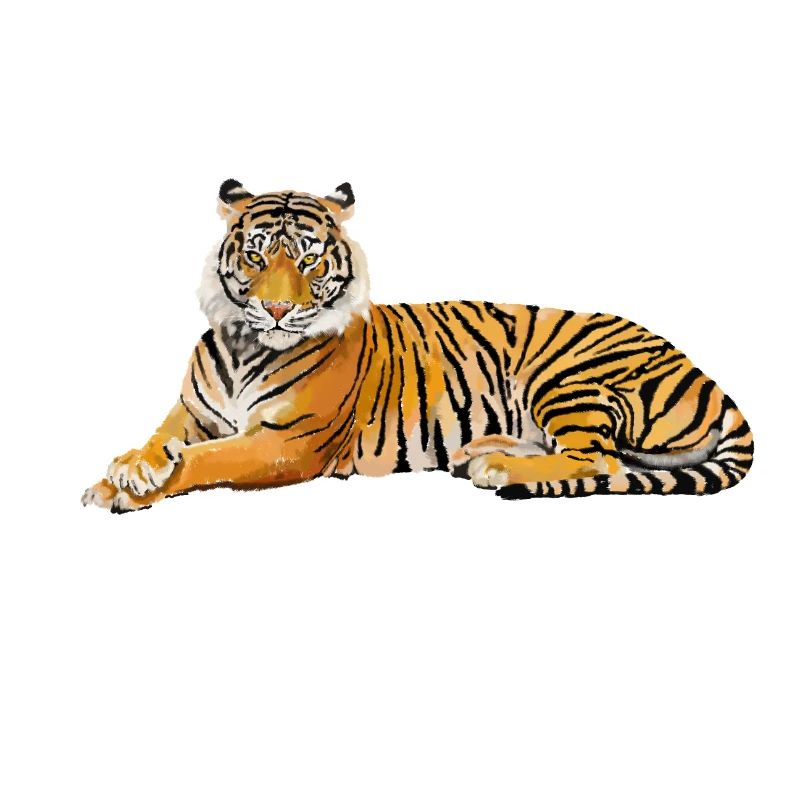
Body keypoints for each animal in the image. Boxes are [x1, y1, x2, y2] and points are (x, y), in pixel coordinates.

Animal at [82, 180, 754, 512]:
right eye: (255, 255)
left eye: (308, 258)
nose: (276, 309)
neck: (246, 344)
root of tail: (704, 372)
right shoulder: (190, 412)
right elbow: (161, 440)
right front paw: (125, 470)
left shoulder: (286, 444)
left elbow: (206, 460)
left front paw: (132, 488)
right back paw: (483, 451)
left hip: (567, 376)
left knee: (601, 461)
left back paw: (496, 467)